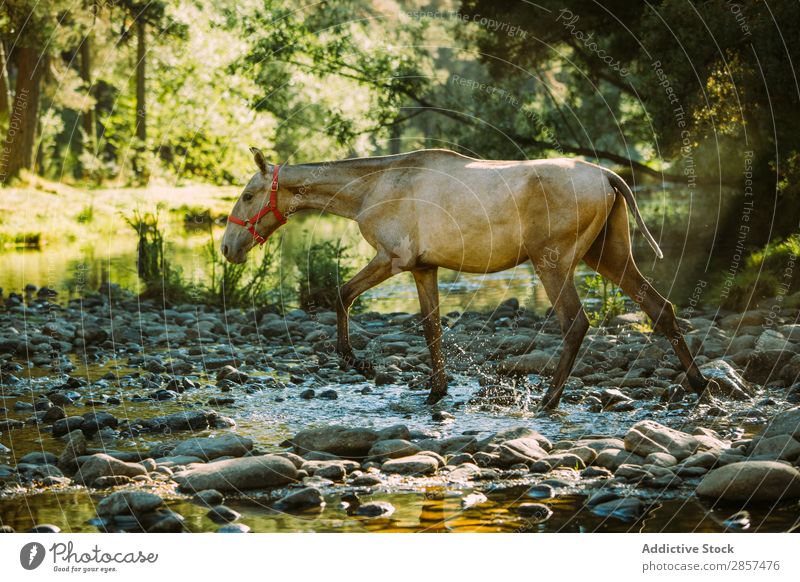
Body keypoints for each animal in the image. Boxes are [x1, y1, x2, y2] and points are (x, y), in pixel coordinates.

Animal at [220, 148, 708, 408]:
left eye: (248, 195)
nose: (227, 247)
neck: (372, 186)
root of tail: (608, 176)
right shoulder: (423, 268)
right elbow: (432, 328)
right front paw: (437, 390)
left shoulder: (393, 259)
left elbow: (342, 295)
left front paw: (357, 361)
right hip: (608, 256)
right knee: (660, 309)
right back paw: (700, 384)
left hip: (553, 263)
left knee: (576, 324)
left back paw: (548, 400)